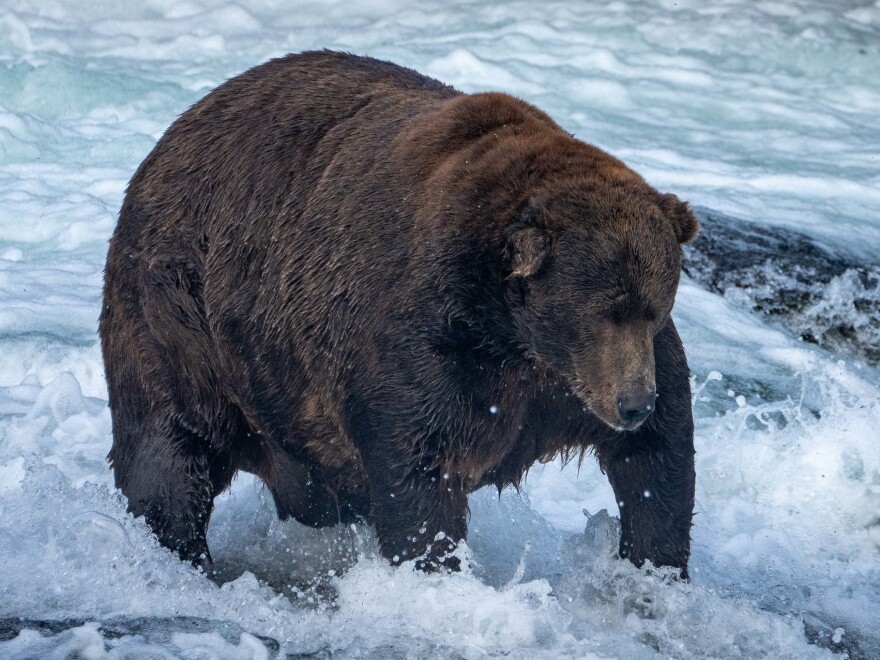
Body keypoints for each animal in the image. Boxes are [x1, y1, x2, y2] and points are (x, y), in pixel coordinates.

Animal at [100, 50, 697, 577]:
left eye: (653, 307)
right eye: (603, 312)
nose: (633, 404)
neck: (510, 332)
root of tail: (173, 133)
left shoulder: (567, 382)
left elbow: (659, 457)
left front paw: (654, 567)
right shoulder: (427, 343)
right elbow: (419, 467)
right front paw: (436, 568)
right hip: (181, 315)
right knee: (171, 447)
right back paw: (182, 552)